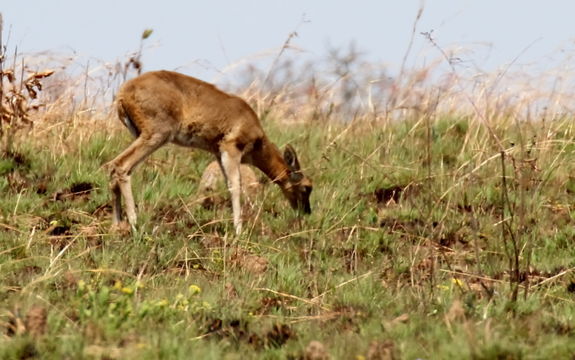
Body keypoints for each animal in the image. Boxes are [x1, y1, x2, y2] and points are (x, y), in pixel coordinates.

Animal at [106, 71, 312, 233]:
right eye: (307, 187)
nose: (306, 212)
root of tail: (124, 92)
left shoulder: (218, 154)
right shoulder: (231, 150)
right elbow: (235, 186)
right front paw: (239, 230)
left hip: (140, 136)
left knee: (114, 166)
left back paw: (117, 225)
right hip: (156, 136)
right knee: (121, 166)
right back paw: (134, 224)